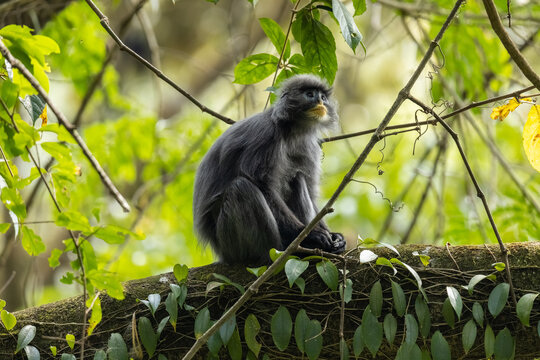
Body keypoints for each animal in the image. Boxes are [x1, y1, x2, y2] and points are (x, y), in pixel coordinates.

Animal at [193, 74, 346, 264]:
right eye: (310, 94)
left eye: (323, 97)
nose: (320, 101)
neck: (292, 131)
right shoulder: (266, 135)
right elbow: (262, 185)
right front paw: (312, 235)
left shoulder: (309, 146)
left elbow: (310, 192)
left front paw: (334, 236)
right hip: (231, 245)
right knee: (241, 188)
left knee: (297, 178)